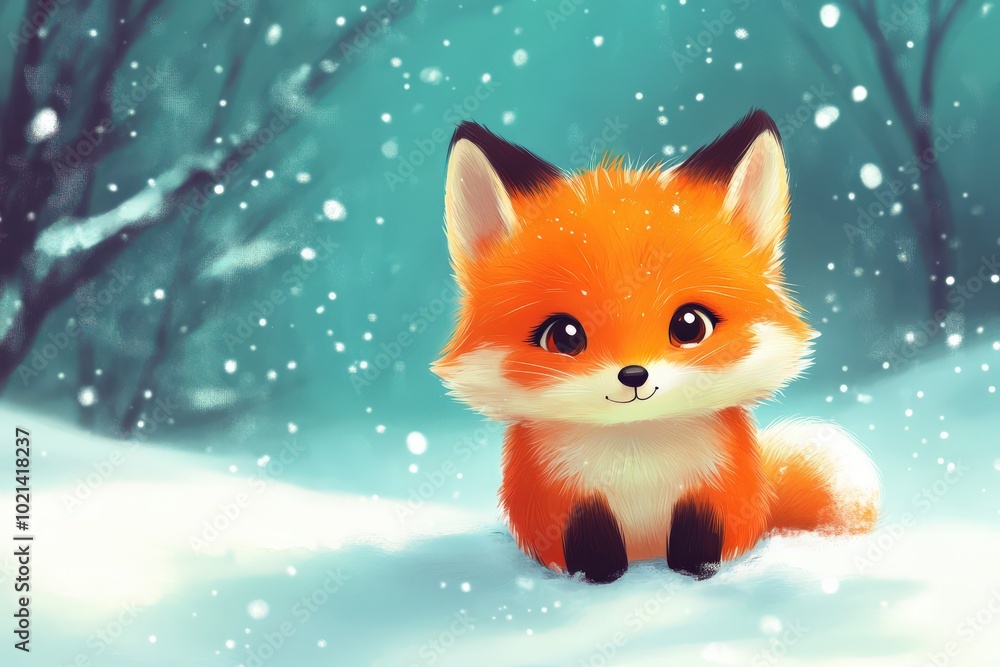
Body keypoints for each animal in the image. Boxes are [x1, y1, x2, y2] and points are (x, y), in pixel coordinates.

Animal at [432, 110, 880, 583]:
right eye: (564, 336)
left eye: (689, 325)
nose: (634, 375)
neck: (637, 456)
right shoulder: (563, 500)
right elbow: (589, 545)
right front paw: (598, 578)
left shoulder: (714, 489)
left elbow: (699, 539)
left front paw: (698, 572)